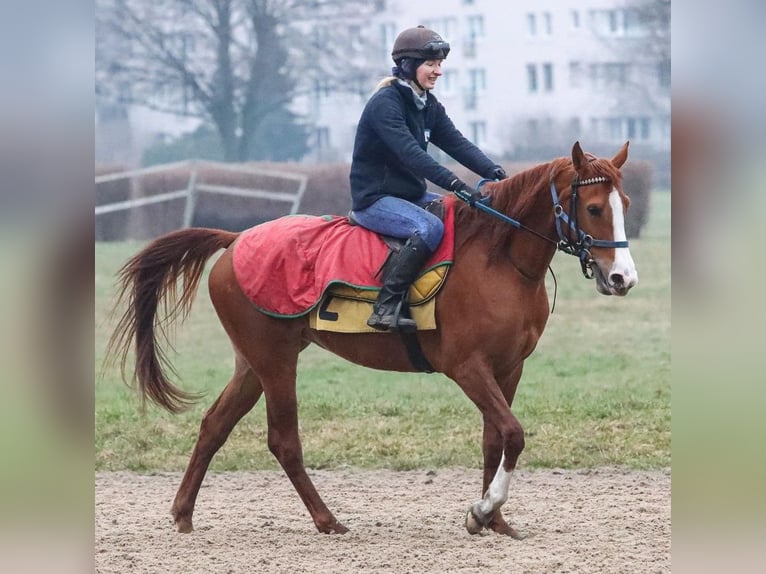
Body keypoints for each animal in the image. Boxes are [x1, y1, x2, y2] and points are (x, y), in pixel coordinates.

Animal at [105, 141, 640, 540]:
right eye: (594, 207)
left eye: (626, 206)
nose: (622, 278)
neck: (497, 259)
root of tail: (234, 239)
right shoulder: (467, 367)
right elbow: (512, 433)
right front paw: (483, 510)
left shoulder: (509, 367)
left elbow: (496, 438)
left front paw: (496, 520)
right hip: (274, 361)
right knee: (283, 441)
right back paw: (327, 520)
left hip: (252, 363)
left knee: (215, 425)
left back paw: (183, 514)